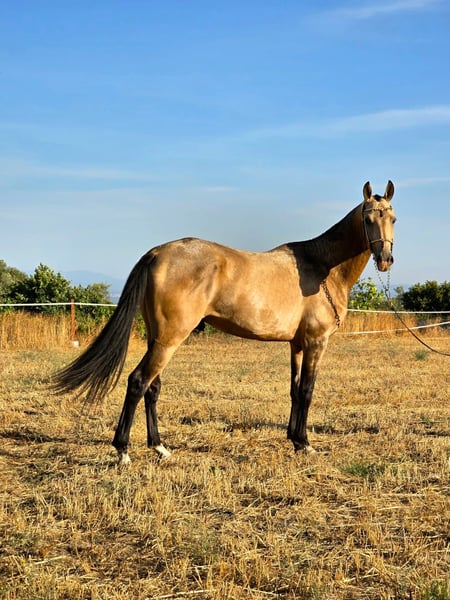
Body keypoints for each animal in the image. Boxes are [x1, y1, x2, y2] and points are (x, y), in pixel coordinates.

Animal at [53, 180, 396, 465]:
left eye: (393, 219)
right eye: (368, 219)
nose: (385, 260)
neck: (322, 266)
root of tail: (157, 253)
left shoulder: (297, 344)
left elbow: (295, 390)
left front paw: (295, 441)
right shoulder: (315, 342)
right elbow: (308, 391)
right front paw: (307, 444)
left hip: (157, 338)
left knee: (153, 387)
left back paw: (160, 447)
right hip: (169, 339)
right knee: (138, 382)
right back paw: (123, 451)